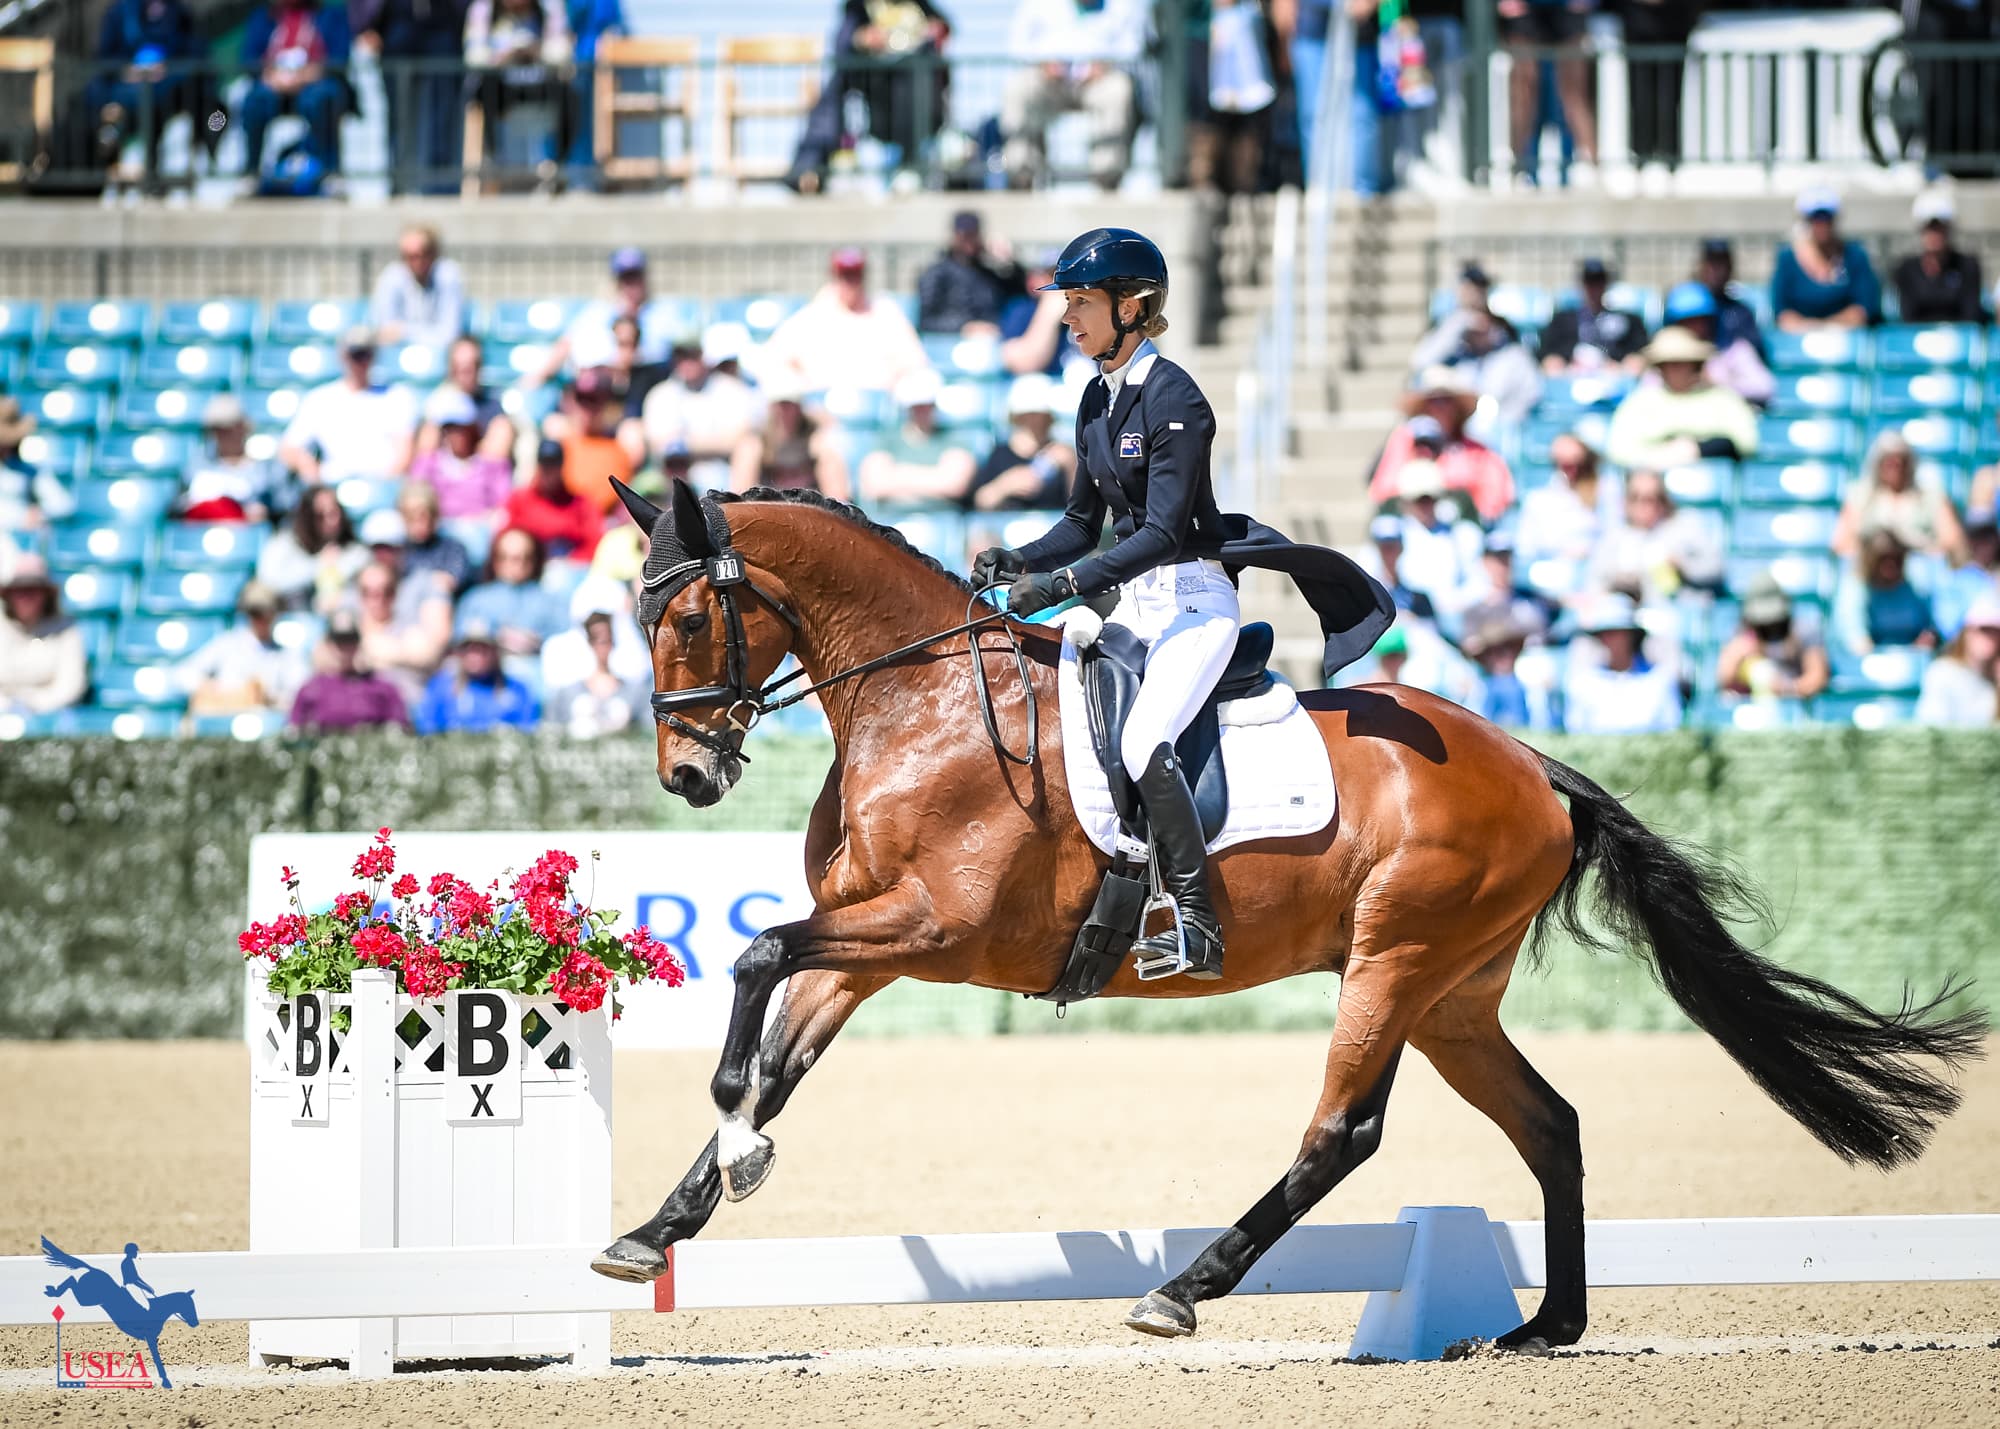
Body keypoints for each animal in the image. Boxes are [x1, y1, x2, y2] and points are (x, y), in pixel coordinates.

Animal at [43, 1238, 199, 1389]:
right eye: (188, 1305)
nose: (195, 1323)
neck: (157, 1310)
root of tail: (93, 1269)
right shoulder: (149, 1337)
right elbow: (157, 1359)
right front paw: (165, 1381)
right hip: (87, 1299)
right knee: (71, 1280)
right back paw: (53, 1291)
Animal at [589, 480, 1984, 1348]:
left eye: (691, 612)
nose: (688, 775)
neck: (919, 700)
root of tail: (1533, 765)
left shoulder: (934, 930)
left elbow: (752, 959)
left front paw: (729, 1155)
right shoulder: (868, 941)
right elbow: (774, 1038)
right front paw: (661, 1224)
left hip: (1394, 961)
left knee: (1342, 1132)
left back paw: (1180, 1290)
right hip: (1451, 994)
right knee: (1550, 1124)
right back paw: (1542, 1326)